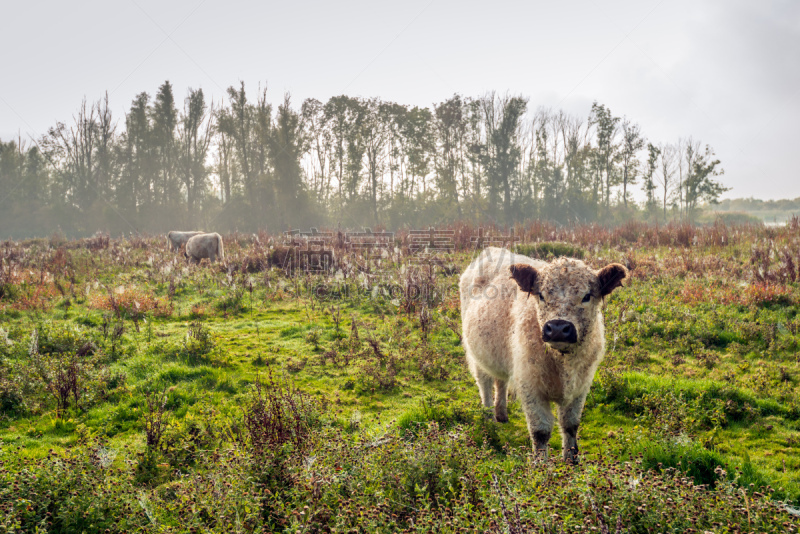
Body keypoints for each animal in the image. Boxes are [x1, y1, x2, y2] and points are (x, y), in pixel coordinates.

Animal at [460, 249, 628, 462]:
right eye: (541, 295)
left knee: (501, 381)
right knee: (485, 385)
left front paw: (571, 460)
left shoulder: (581, 386)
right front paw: (541, 465)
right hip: (477, 356)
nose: (557, 328)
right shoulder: (530, 386)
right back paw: (489, 419)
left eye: (587, 296)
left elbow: (570, 424)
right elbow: (540, 431)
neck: (563, 365)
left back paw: (501, 414)